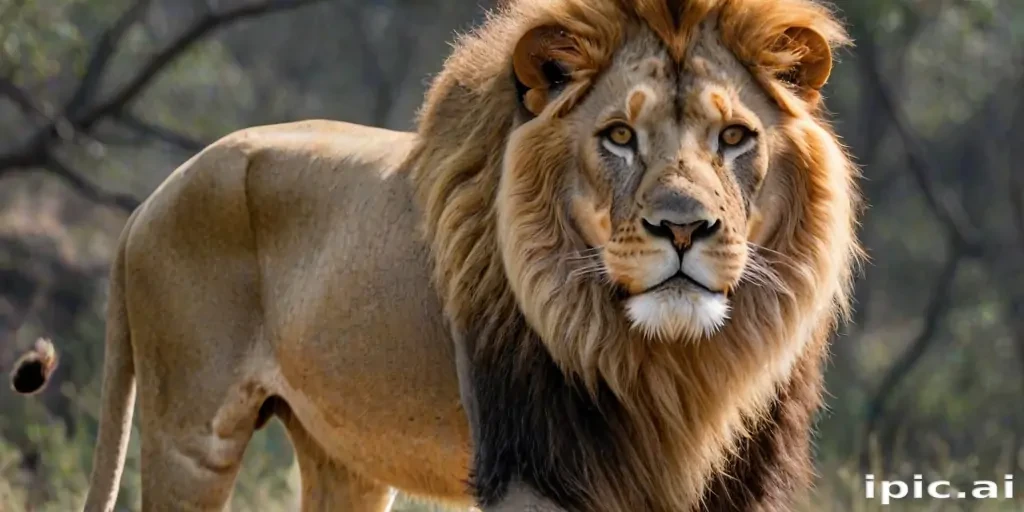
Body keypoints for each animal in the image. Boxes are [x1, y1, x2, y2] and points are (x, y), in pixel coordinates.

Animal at [12, 0, 860, 511]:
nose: (683, 228)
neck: (676, 367)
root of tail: (150, 201)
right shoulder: (536, 468)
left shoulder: (745, 479)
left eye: (735, 137)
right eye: (619, 136)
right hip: (191, 431)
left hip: (344, 456)